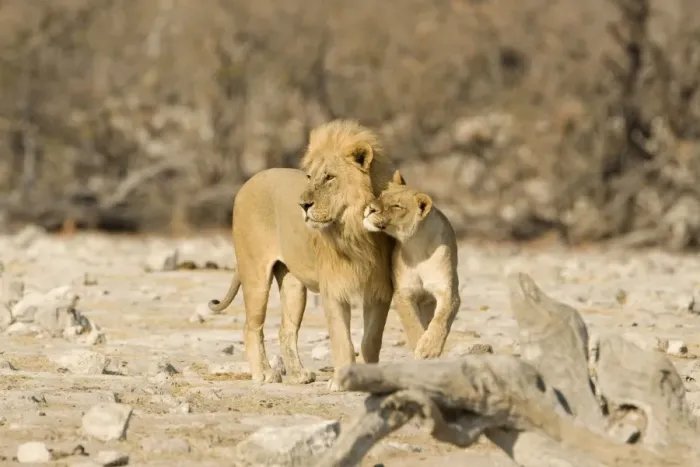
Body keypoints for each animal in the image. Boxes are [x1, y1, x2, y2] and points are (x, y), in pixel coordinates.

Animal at [208, 119, 395, 390]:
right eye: (310, 177)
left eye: (329, 177)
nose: (303, 205)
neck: (354, 232)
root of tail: (249, 181)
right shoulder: (333, 289)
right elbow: (341, 339)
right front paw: (340, 381)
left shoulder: (380, 291)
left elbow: (371, 340)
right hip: (255, 274)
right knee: (251, 327)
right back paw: (264, 373)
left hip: (293, 285)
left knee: (286, 329)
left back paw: (298, 374)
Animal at [363, 170, 461, 359]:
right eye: (381, 195)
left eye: (397, 206)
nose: (370, 208)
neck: (417, 245)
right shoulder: (403, 292)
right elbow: (411, 322)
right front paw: (419, 344)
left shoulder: (448, 291)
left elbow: (441, 319)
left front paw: (429, 348)